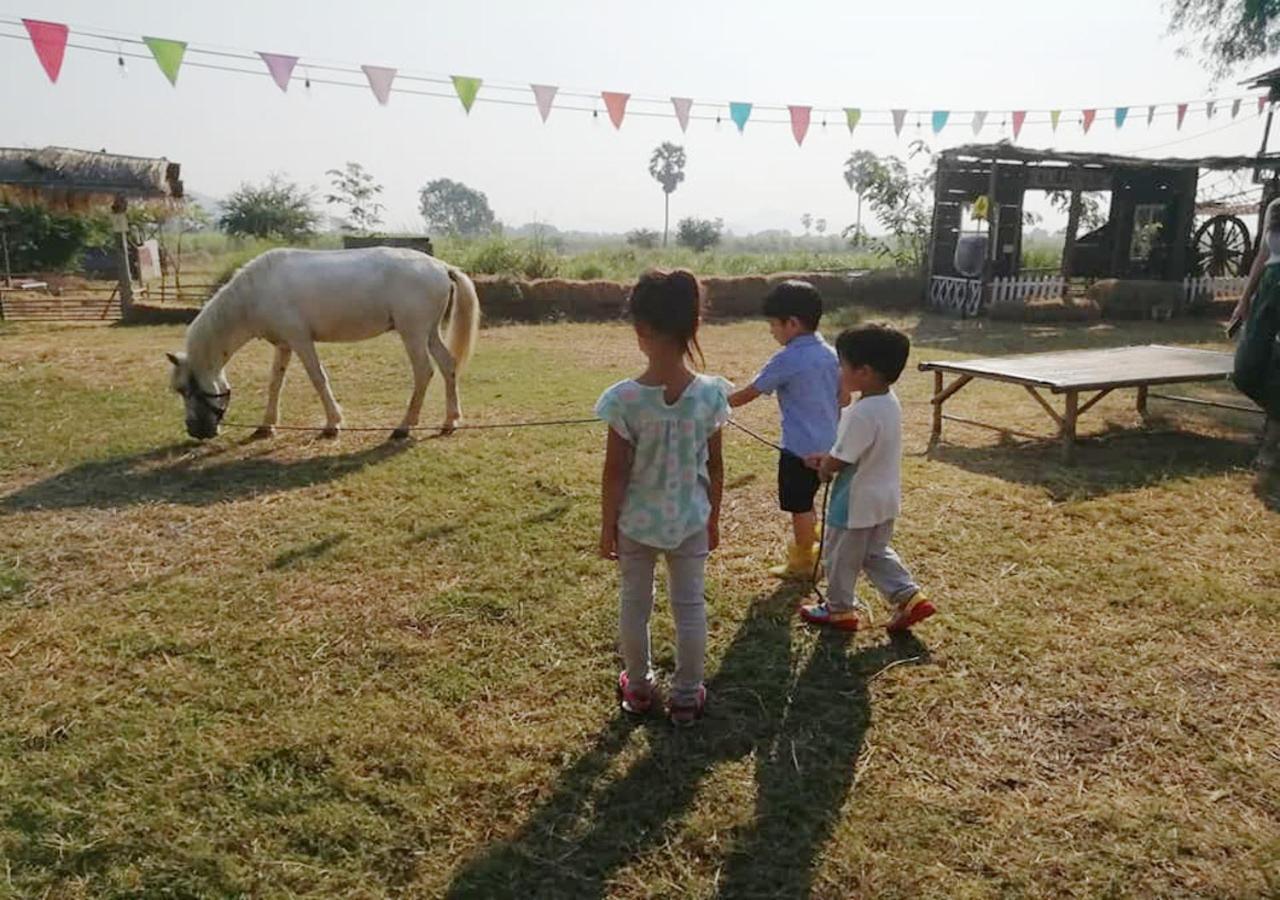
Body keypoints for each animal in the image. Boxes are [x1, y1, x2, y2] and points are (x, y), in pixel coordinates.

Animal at [165, 245, 476, 442]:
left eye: (185, 389)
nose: (195, 431)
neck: (256, 292)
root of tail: (441, 267)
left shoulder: (301, 340)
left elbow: (318, 378)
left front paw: (332, 424)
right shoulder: (284, 344)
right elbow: (275, 383)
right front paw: (266, 426)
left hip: (412, 333)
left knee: (424, 372)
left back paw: (403, 427)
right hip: (429, 333)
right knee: (448, 365)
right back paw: (450, 422)